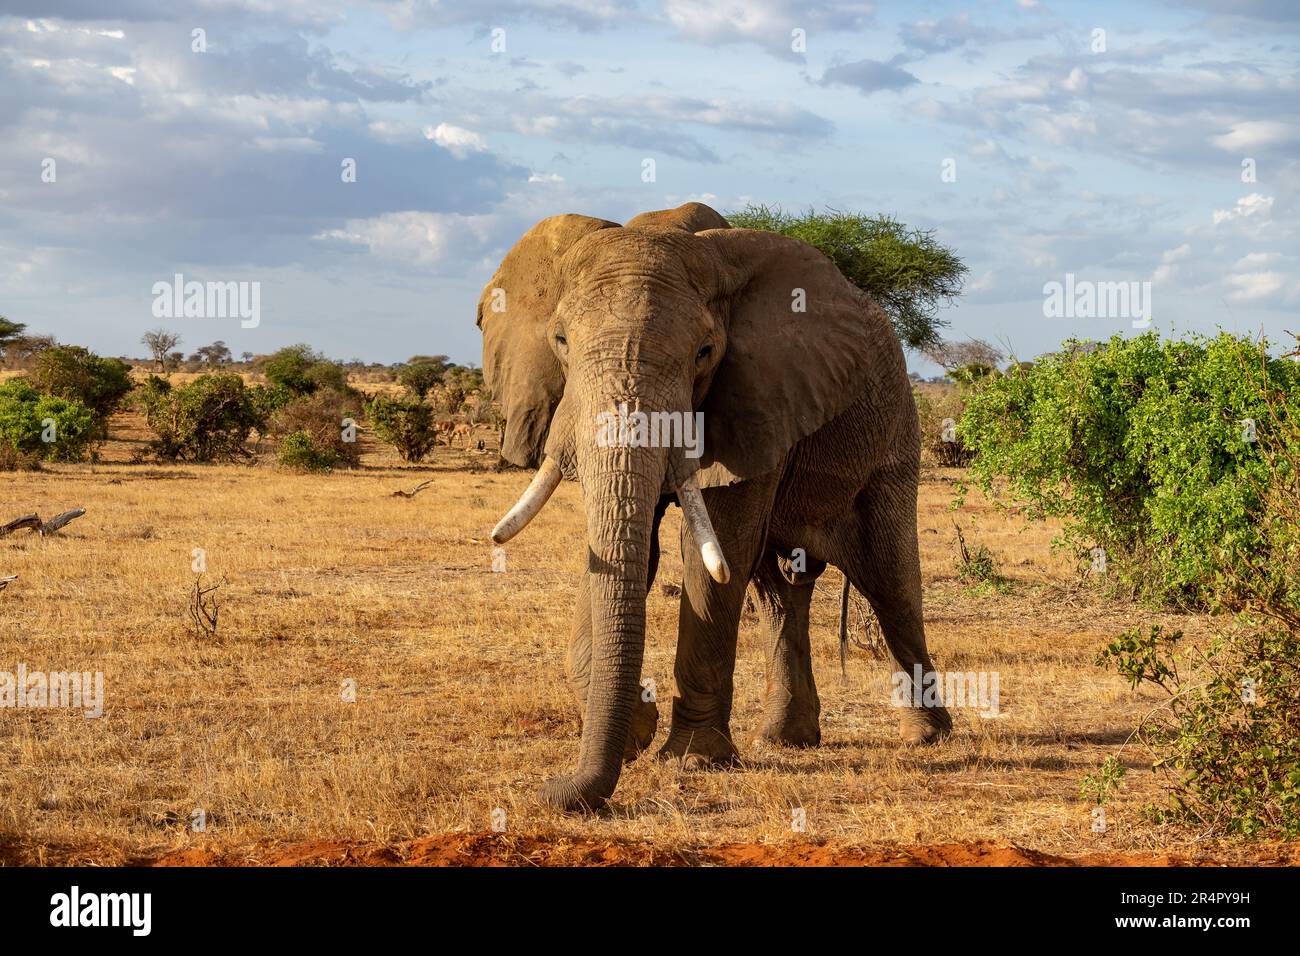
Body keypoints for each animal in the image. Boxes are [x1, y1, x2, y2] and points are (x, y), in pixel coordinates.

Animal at [483, 201, 951, 816]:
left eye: (705, 353)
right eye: (560, 341)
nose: (553, 791)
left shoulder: (759, 396)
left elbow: (715, 545)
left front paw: (692, 758)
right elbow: (631, 550)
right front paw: (636, 731)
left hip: (894, 430)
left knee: (891, 581)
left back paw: (928, 737)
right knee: (781, 591)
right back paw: (785, 739)